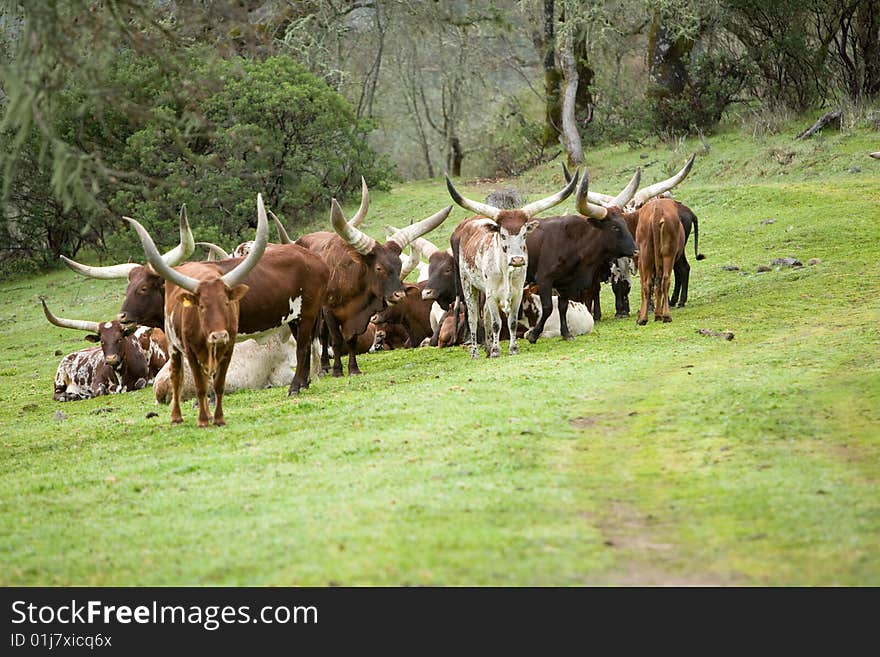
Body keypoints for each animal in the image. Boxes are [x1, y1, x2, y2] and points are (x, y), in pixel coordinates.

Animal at [122, 192, 270, 428]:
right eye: (201, 306)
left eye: (143, 288)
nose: (122, 317)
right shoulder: (189, 351)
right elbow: (200, 384)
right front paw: (203, 418)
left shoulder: (228, 349)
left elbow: (216, 383)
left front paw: (216, 416)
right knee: (179, 377)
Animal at [298, 182, 450, 374]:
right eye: (379, 268)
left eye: (398, 265)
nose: (399, 295)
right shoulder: (329, 312)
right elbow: (336, 340)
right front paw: (338, 371)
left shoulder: (358, 318)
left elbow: (351, 340)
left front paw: (354, 369)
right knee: (323, 336)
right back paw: (324, 366)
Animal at [444, 170, 580, 358]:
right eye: (502, 235)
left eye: (524, 234)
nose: (517, 260)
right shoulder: (492, 293)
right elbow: (496, 323)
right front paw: (496, 351)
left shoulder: (517, 293)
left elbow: (512, 321)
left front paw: (512, 348)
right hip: (468, 283)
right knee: (473, 317)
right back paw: (476, 352)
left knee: (485, 314)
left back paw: (487, 348)